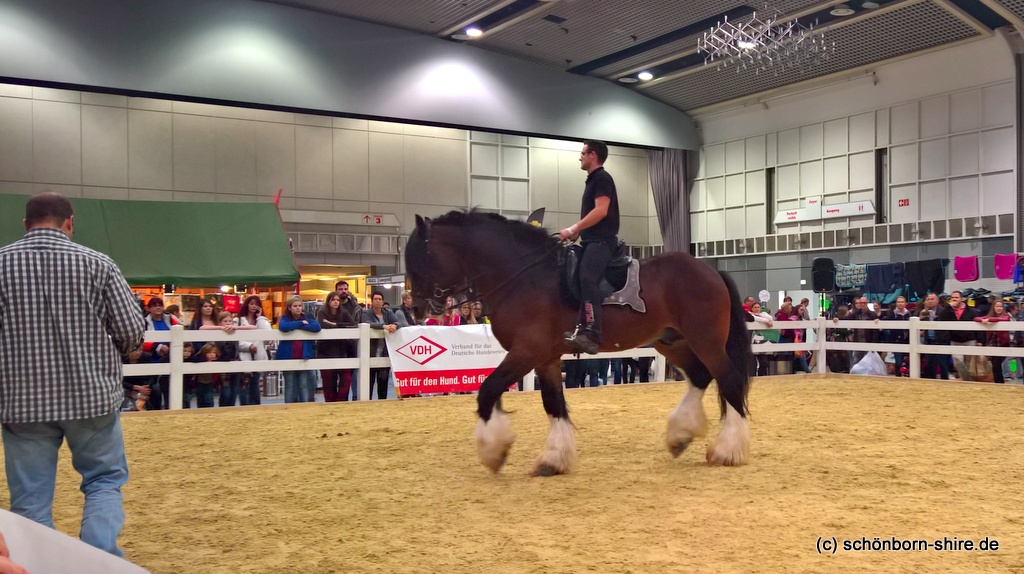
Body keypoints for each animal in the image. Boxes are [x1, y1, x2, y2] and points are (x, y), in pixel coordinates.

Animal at [405, 210, 753, 474]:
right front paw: (554, 459)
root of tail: (710, 270)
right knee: (700, 377)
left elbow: (487, 391)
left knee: (729, 381)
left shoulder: (526, 352)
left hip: (706, 341)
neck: (523, 278)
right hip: (671, 342)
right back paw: (680, 436)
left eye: (420, 257)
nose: (418, 308)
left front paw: (494, 451)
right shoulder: (545, 359)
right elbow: (553, 404)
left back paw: (727, 450)